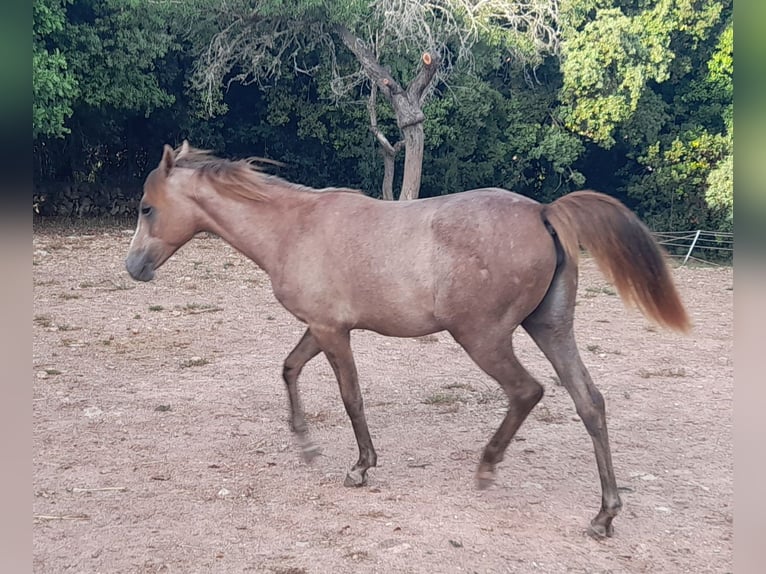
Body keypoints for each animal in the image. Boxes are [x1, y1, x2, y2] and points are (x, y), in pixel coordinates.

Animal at [124, 143, 688, 540]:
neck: (293, 227)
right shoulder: (322, 327)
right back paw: (604, 516)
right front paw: (305, 442)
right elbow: (289, 368)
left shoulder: (333, 332)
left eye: (147, 208)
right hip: (550, 329)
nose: (133, 268)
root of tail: (543, 212)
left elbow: (350, 397)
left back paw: (487, 468)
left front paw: (360, 467)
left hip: (482, 337)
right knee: (589, 403)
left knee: (527, 392)